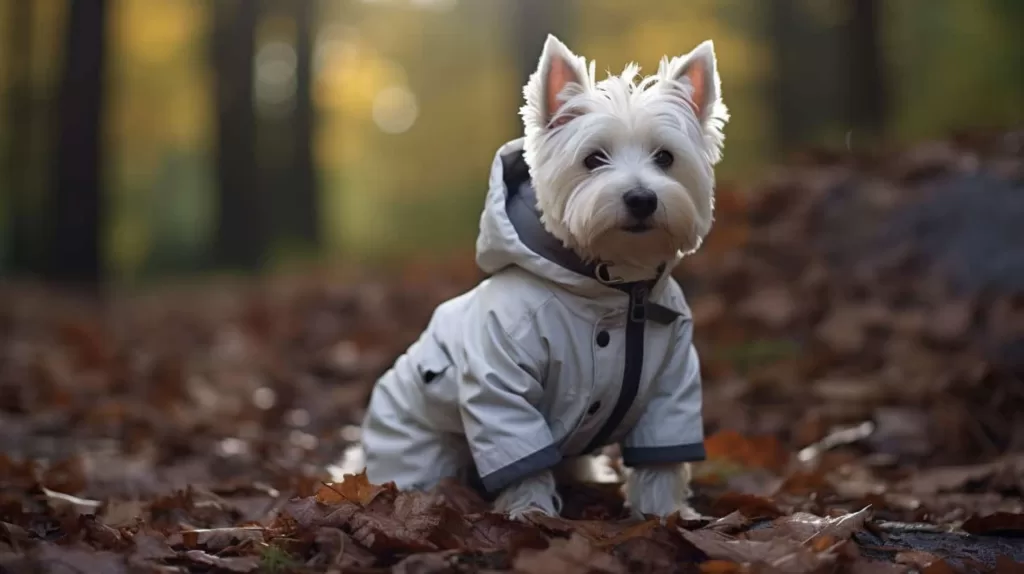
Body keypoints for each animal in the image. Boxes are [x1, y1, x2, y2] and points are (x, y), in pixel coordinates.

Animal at [360, 34, 729, 519]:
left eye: (665, 157)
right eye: (594, 159)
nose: (641, 199)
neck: (616, 288)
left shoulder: (673, 382)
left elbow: (662, 459)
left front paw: (664, 515)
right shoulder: (500, 384)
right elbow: (520, 453)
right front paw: (530, 513)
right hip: (419, 443)